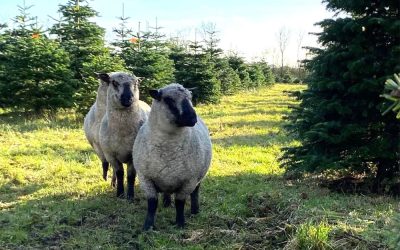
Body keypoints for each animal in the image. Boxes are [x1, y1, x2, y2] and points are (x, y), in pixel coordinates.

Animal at [132, 83, 212, 230]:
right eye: (168, 100)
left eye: (190, 98)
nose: (192, 118)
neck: (168, 147)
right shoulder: (145, 178)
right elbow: (152, 203)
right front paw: (148, 226)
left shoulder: (189, 181)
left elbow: (180, 203)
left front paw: (180, 223)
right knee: (167, 192)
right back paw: (166, 203)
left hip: (198, 175)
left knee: (195, 192)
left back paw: (195, 210)